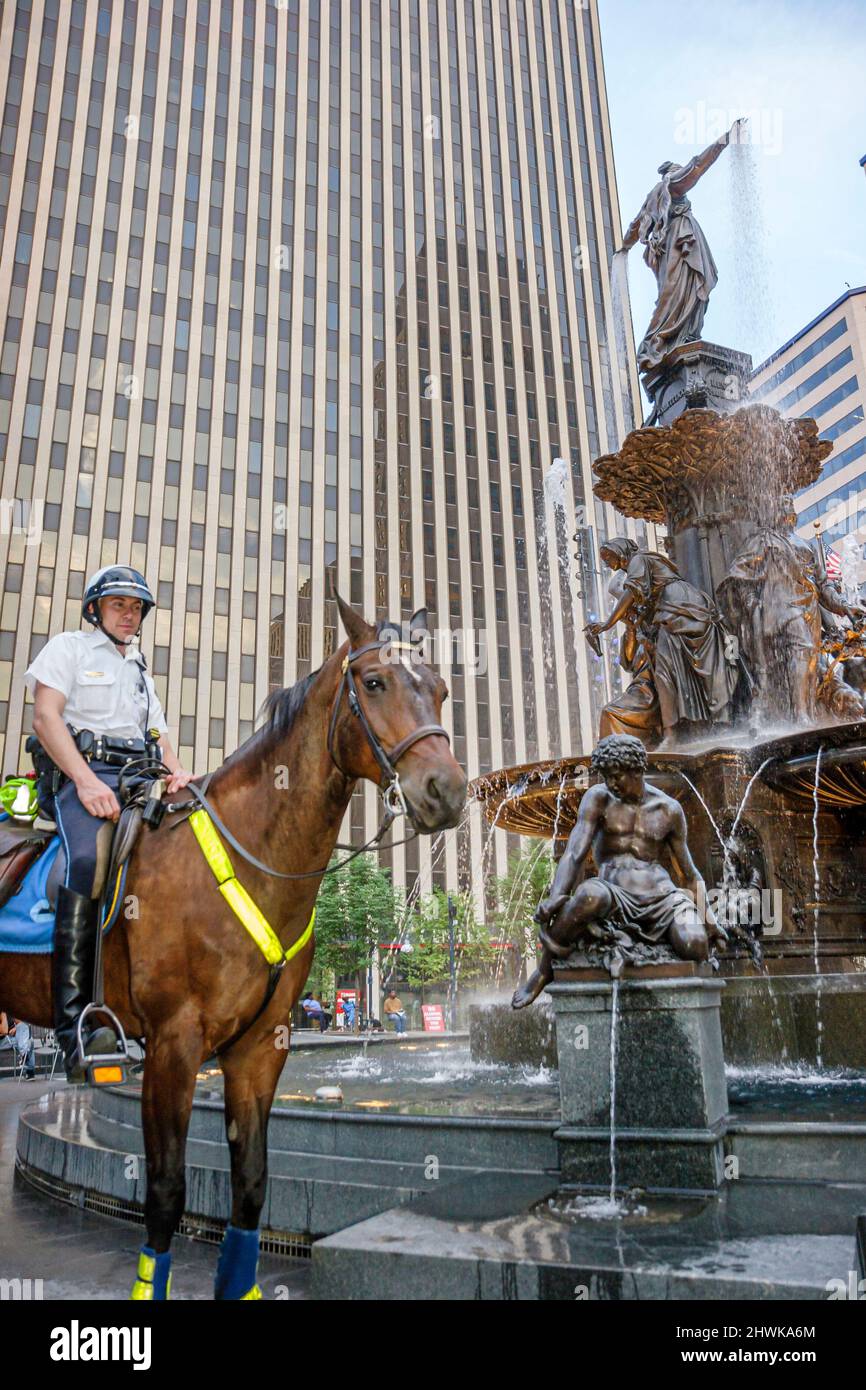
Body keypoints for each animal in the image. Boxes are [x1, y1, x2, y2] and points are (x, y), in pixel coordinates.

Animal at [0, 595, 467, 1298]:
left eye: (438, 689)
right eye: (374, 682)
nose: (447, 791)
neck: (251, 853)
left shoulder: (260, 1047)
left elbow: (250, 1185)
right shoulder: (173, 1046)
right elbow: (166, 1190)